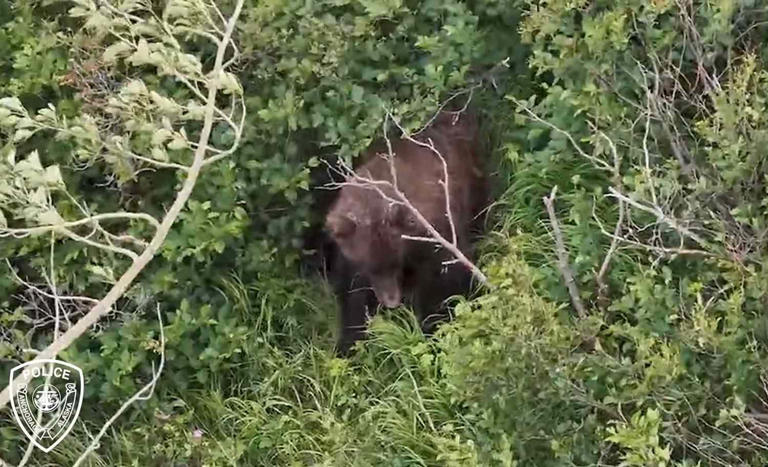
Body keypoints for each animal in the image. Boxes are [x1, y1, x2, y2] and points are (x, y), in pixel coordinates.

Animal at [324, 111, 486, 354]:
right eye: (370, 267)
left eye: (395, 262)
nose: (391, 301)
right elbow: (351, 298)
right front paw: (348, 344)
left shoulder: (432, 236)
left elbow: (443, 283)